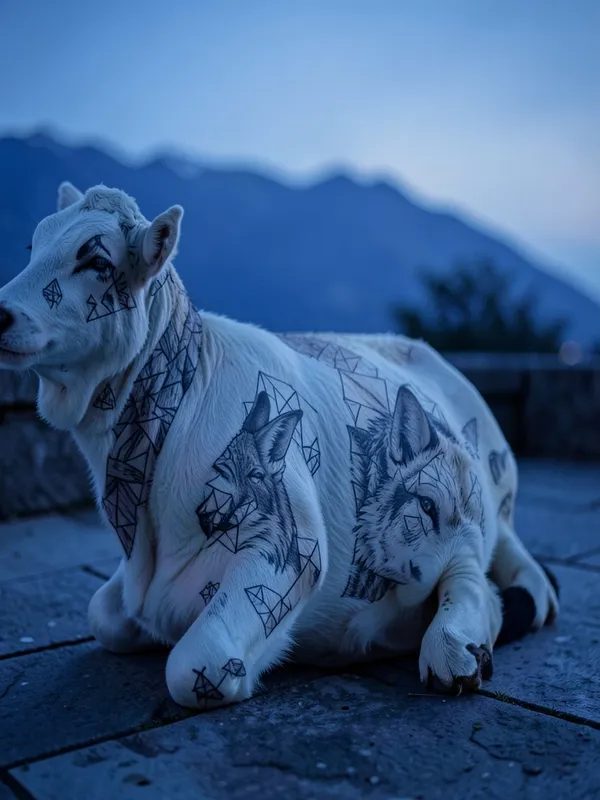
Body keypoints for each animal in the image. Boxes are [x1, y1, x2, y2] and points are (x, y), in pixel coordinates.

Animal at [0, 182, 558, 706]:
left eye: (97, 260)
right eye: (33, 244)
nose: (1, 313)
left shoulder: (292, 549)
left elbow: (193, 665)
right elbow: (103, 615)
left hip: (464, 510)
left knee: (475, 581)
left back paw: (450, 647)